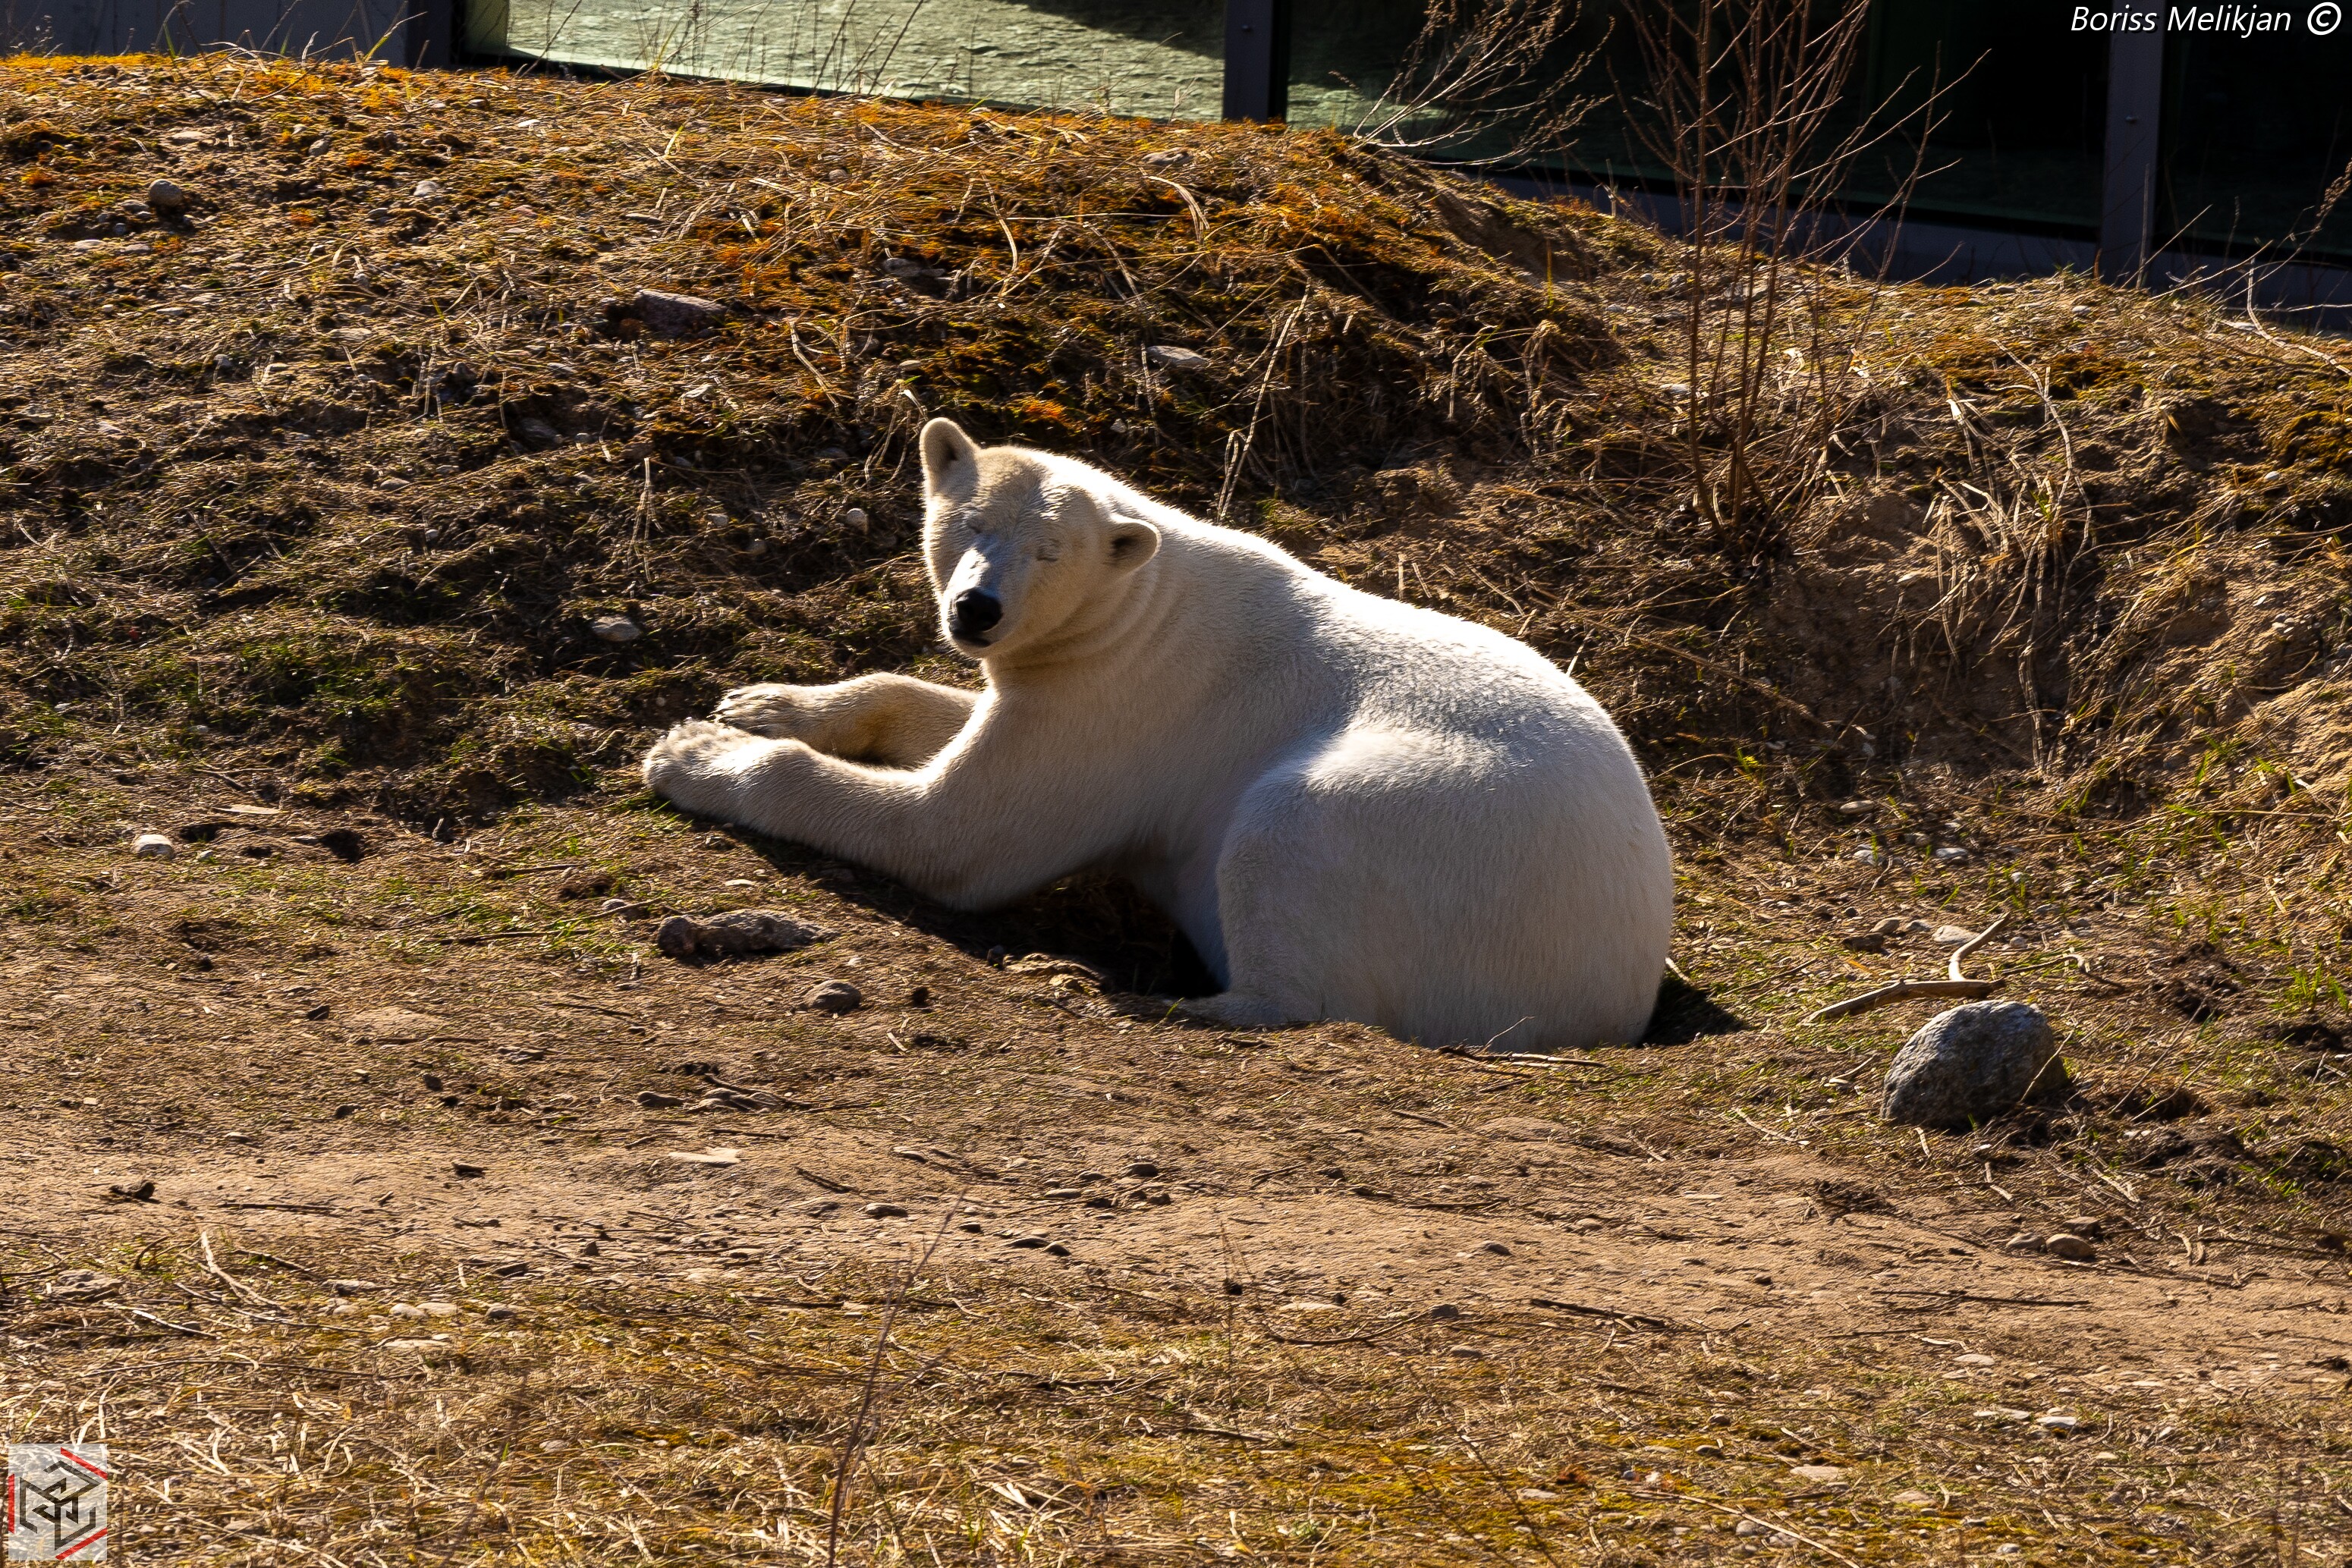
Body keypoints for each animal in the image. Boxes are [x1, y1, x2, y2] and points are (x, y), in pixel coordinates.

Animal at [642, 418, 1674, 1051]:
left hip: (1442, 844)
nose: (976, 610)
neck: (1144, 600)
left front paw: (692, 750)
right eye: (966, 522)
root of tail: (1616, 987)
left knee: (1295, 856)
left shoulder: (1127, 706)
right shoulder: (1065, 678)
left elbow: (956, 837)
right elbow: (938, 712)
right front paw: (757, 702)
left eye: (1048, 550)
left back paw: (1154, 995)